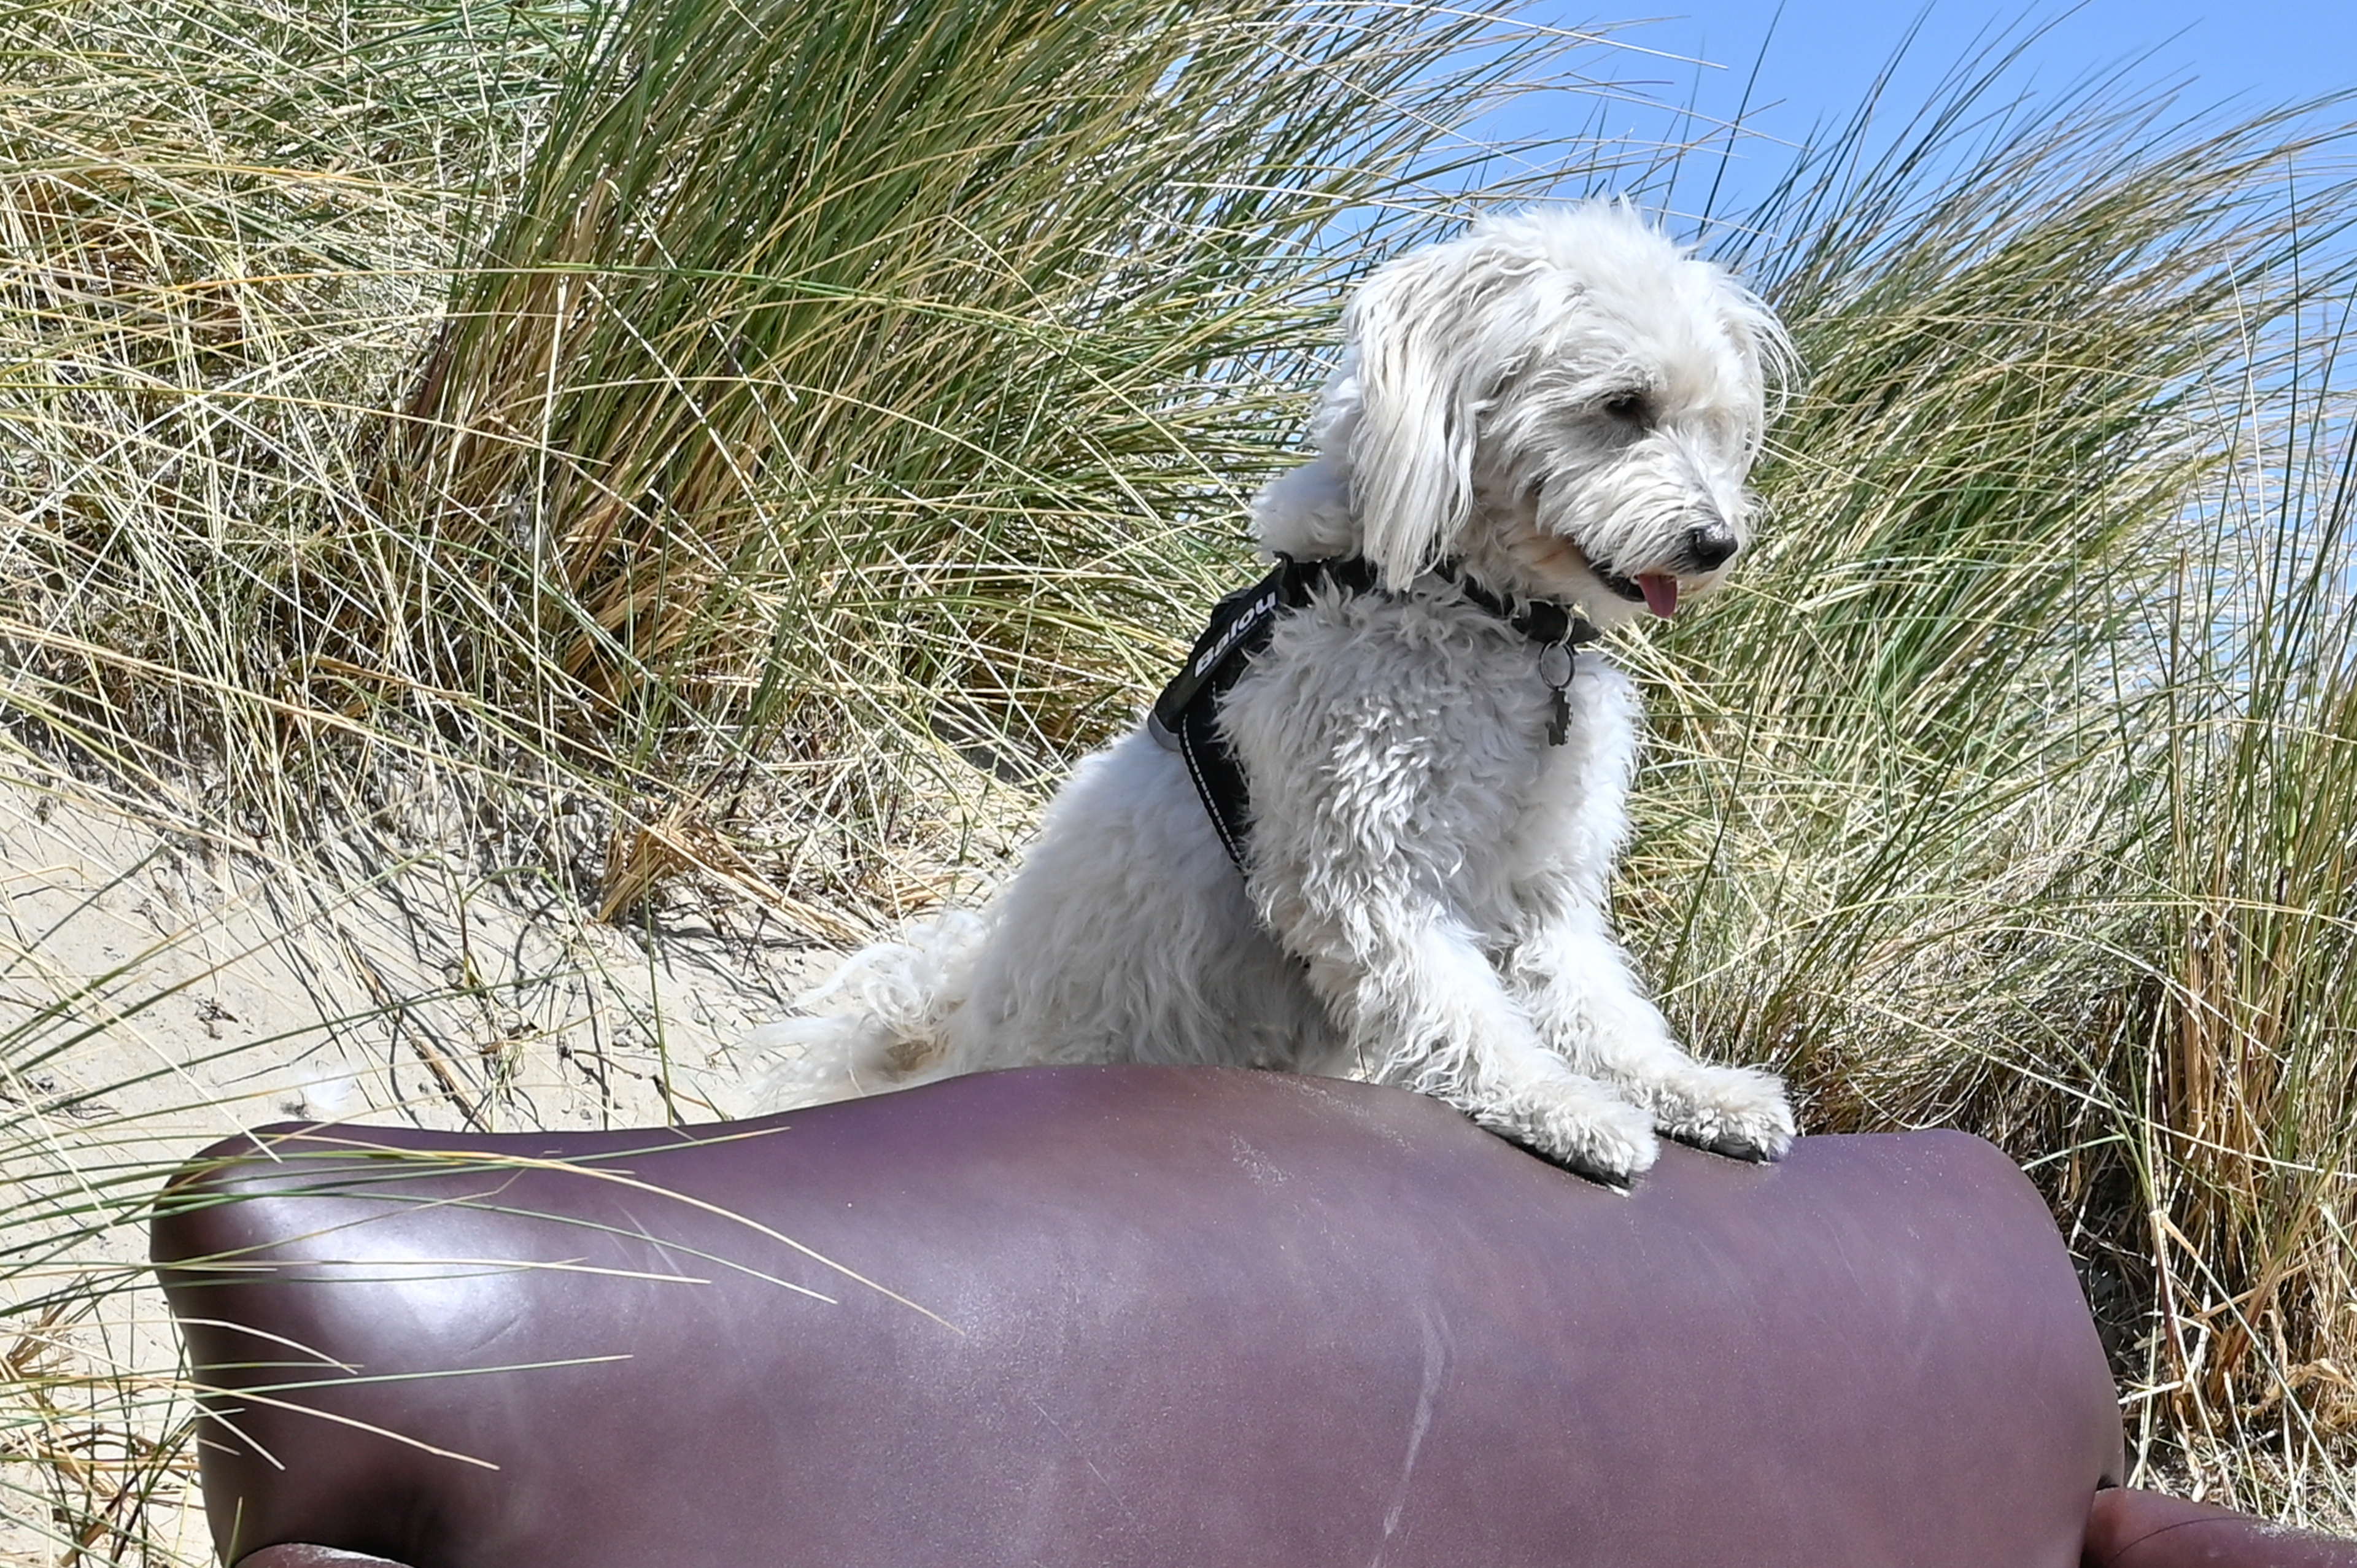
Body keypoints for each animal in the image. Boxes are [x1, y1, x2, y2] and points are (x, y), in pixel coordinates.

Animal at [754, 199, 1782, 1174]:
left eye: (1716, 424)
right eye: (1624, 404)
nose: (1718, 543)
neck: (1477, 612)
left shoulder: (1545, 891)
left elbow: (1603, 1010)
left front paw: (1697, 1090)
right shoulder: (1367, 875)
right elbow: (1466, 1016)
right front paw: (1565, 1107)